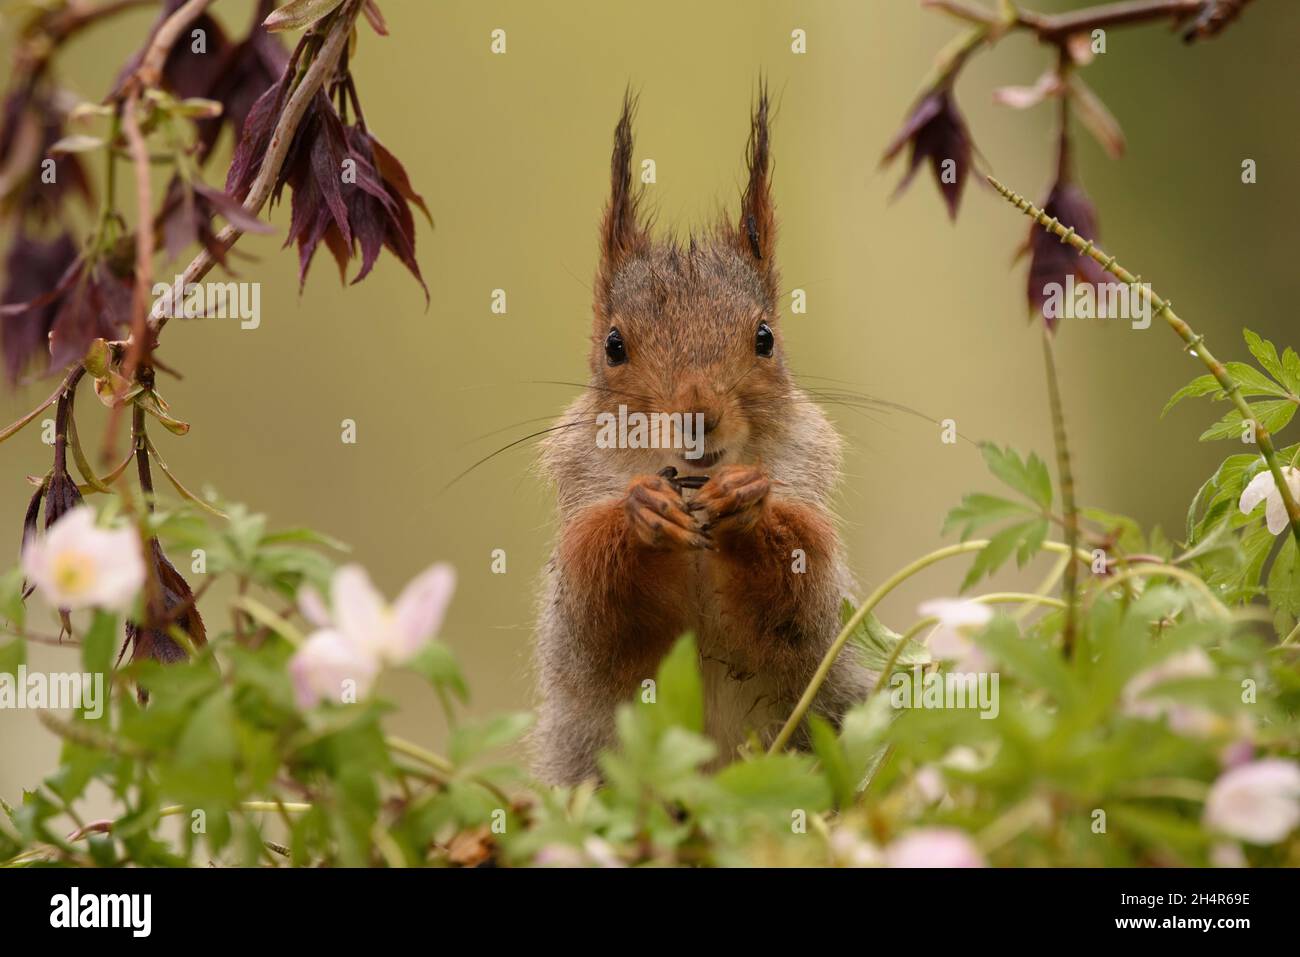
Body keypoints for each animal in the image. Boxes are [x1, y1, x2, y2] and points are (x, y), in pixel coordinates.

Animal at [533, 91, 868, 785]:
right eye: (614, 345)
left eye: (765, 337)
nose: (695, 415)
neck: (694, 480)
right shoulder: (578, 507)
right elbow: (592, 611)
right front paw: (642, 512)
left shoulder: (810, 498)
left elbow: (803, 597)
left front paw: (748, 501)